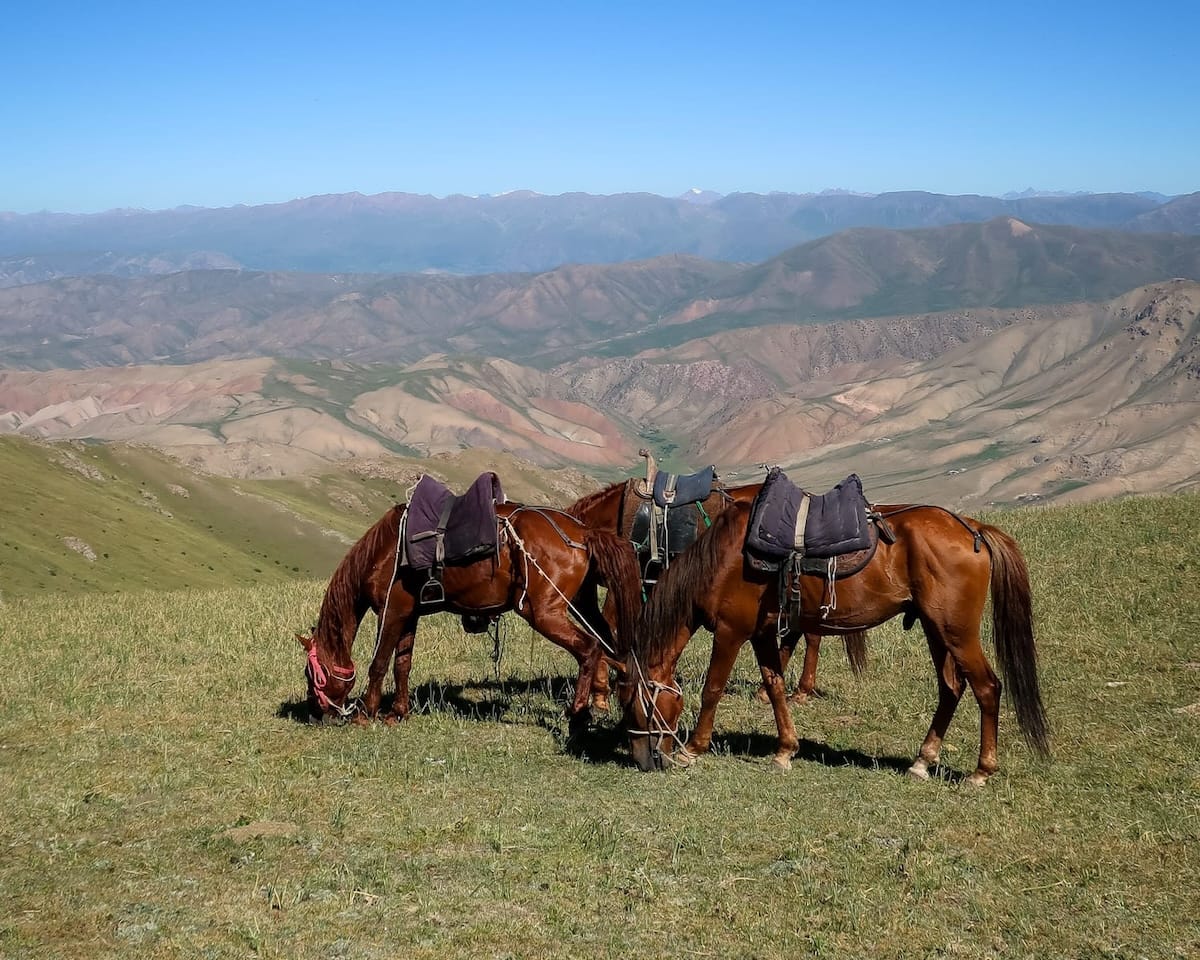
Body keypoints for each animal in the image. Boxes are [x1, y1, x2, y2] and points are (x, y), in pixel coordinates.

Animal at [296, 499, 643, 729]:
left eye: (311, 674)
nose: (315, 712)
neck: (387, 550)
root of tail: (582, 534)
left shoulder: (392, 611)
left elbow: (379, 663)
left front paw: (366, 712)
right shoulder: (409, 614)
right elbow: (402, 665)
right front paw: (398, 711)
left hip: (544, 613)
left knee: (589, 650)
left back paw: (577, 710)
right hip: (581, 606)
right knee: (613, 649)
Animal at [619, 499, 1051, 782]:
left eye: (634, 705)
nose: (642, 759)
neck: (724, 559)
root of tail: (971, 528)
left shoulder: (731, 631)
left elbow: (713, 688)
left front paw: (693, 749)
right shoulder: (762, 634)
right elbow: (775, 687)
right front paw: (785, 750)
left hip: (956, 632)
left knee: (987, 688)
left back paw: (981, 771)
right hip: (937, 630)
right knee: (951, 688)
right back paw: (922, 761)